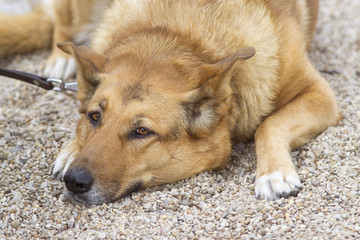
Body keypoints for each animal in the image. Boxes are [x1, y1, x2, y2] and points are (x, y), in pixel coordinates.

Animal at [0, 0, 342, 204]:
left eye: (142, 132)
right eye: (95, 117)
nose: (74, 181)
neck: (174, 37)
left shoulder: (319, 94)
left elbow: (269, 125)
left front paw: (273, 173)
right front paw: (73, 146)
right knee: (61, 24)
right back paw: (61, 60)